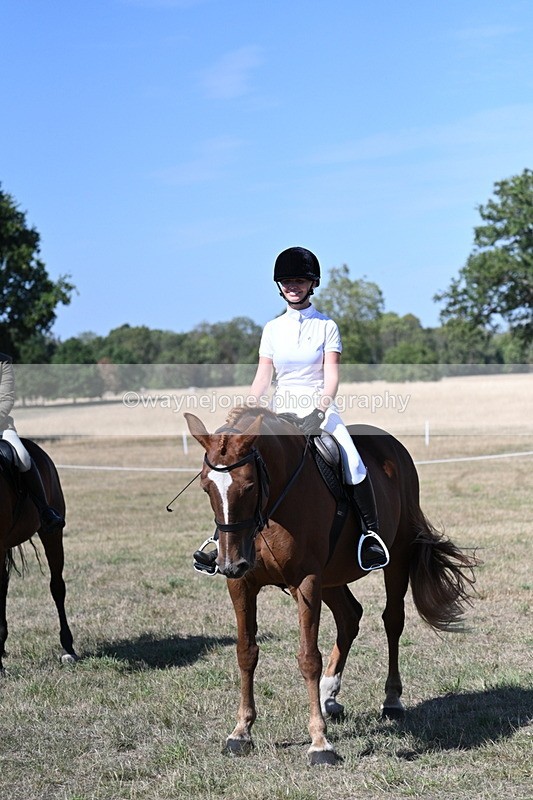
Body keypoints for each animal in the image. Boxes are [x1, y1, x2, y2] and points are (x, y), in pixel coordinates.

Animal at [184, 406, 477, 765]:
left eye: (250, 485)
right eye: (205, 487)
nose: (230, 563)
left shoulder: (307, 581)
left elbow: (309, 657)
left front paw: (320, 743)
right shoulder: (243, 585)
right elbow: (246, 651)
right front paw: (241, 731)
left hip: (397, 555)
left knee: (392, 620)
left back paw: (391, 699)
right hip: (332, 578)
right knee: (350, 617)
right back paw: (328, 696)